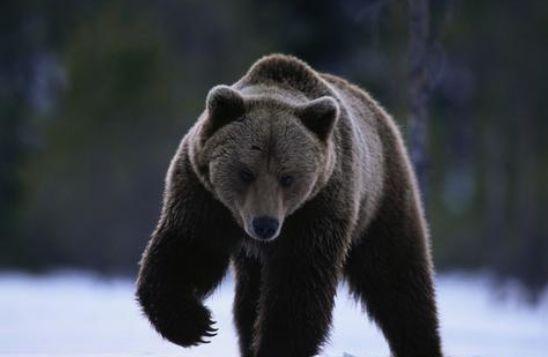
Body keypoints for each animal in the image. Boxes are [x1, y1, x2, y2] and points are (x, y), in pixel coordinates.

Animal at [136, 53, 440, 356]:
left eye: (288, 177)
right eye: (246, 172)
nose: (265, 224)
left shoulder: (318, 209)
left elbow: (298, 288)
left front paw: (277, 345)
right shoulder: (203, 196)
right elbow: (187, 249)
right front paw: (195, 324)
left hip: (381, 201)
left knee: (398, 283)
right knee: (248, 303)